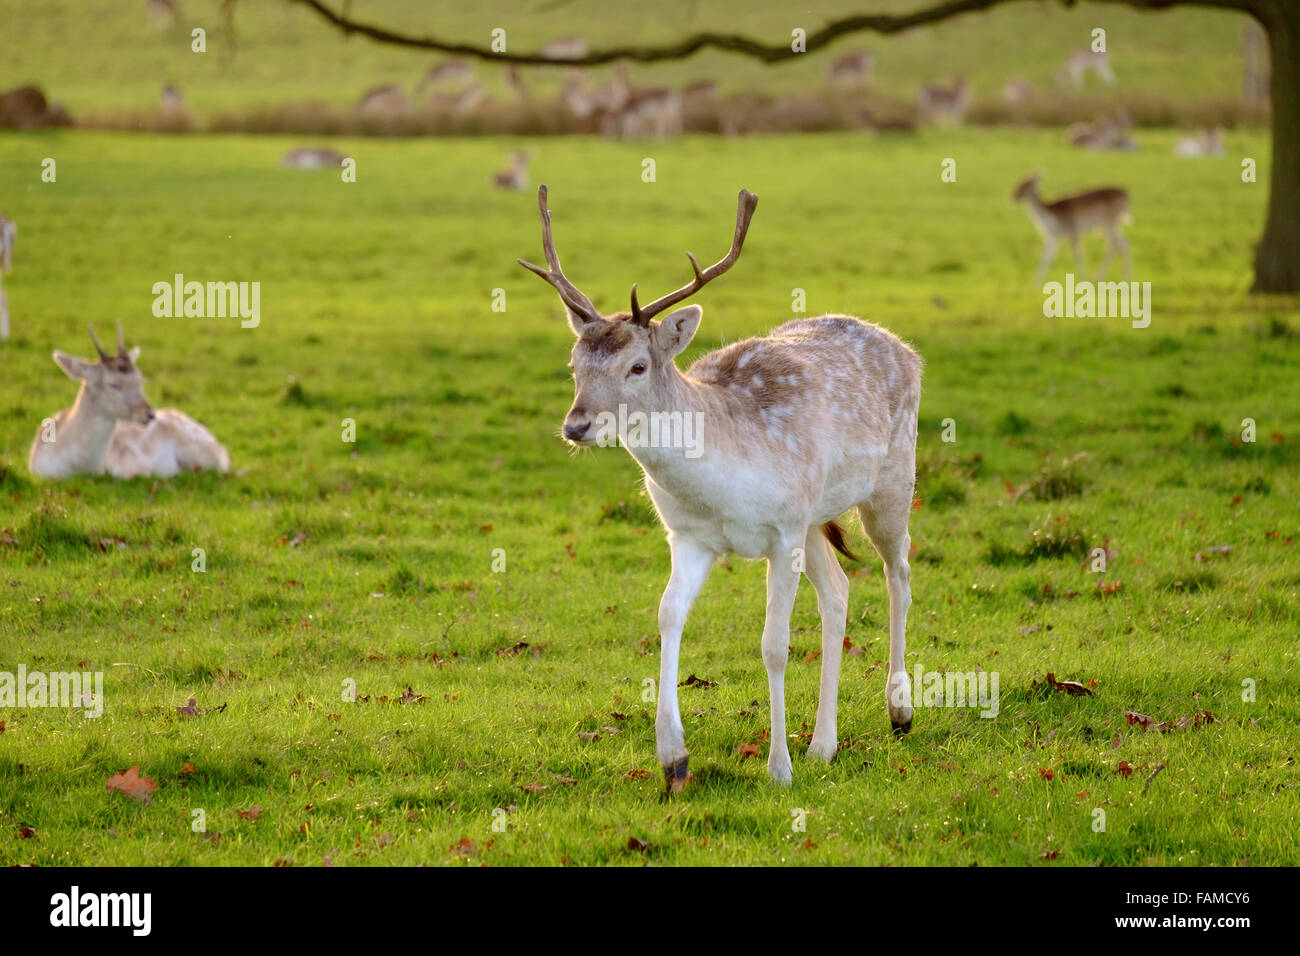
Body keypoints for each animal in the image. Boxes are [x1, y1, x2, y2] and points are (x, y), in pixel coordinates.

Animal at [517, 187, 925, 790]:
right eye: (574, 364)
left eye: (637, 366)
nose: (577, 425)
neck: (725, 488)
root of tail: (907, 350)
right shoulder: (690, 536)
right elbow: (667, 615)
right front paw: (673, 759)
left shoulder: (783, 531)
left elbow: (775, 645)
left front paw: (778, 767)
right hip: (815, 518)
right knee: (839, 591)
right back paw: (823, 745)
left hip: (892, 480)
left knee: (899, 571)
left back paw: (899, 711)